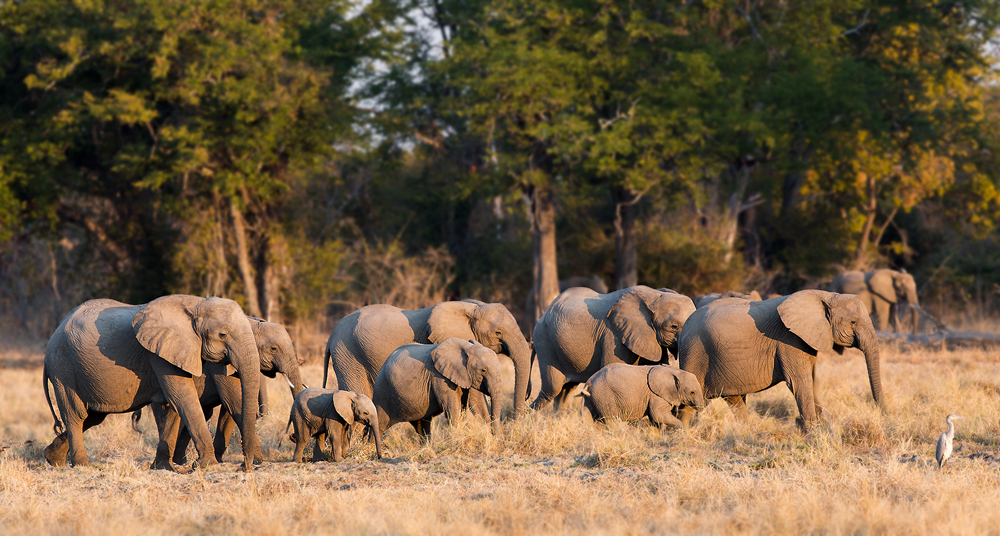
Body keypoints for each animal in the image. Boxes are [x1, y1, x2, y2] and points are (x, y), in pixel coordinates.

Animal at [43, 296, 262, 472]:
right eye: (222, 335)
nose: (245, 467)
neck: (196, 304)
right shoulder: (159, 352)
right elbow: (182, 397)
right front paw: (208, 466)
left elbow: (175, 403)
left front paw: (162, 467)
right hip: (63, 367)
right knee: (76, 414)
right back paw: (83, 466)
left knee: (94, 416)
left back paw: (53, 459)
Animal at [372, 340, 504, 440]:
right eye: (483, 370)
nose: (497, 438)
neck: (467, 347)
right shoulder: (439, 376)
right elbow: (453, 409)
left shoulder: (466, 376)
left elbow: (477, 404)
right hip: (382, 390)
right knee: (379, 424)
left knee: (422, 426)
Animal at [532, 284, 696, 410]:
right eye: (674, 326)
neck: (654, 295)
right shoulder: (613, 336)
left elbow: (655, 369)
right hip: (544, 341)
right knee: (552, 388)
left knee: (566, 390)